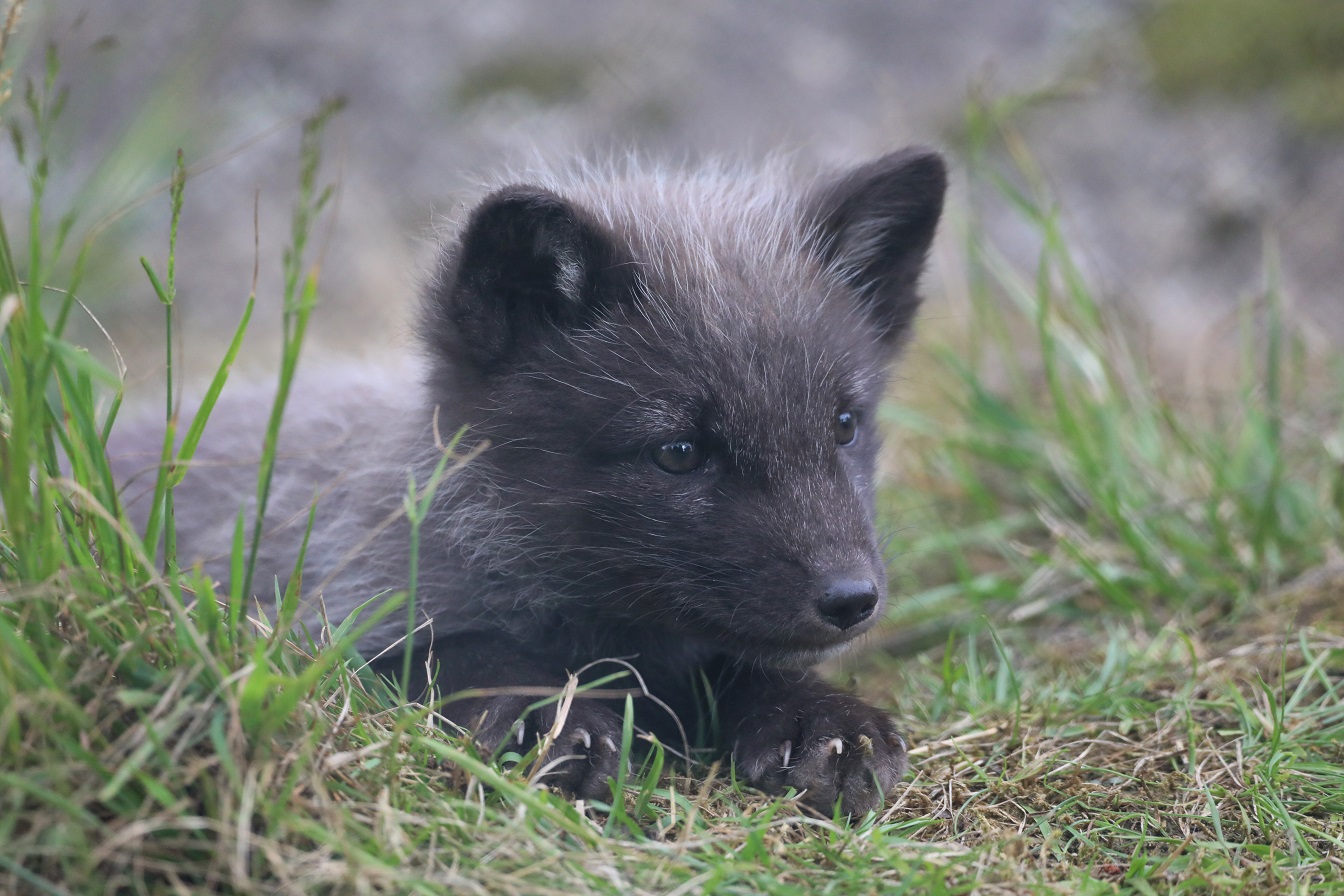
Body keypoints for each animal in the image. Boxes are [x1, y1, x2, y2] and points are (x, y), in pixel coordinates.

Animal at [116, 147, 947, 815]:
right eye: (679, 451)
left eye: (844, 424)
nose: (852, 600)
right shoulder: (340, 621)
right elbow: (471, 658)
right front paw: (558, 724)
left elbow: (744, 665)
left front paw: (824, 723)